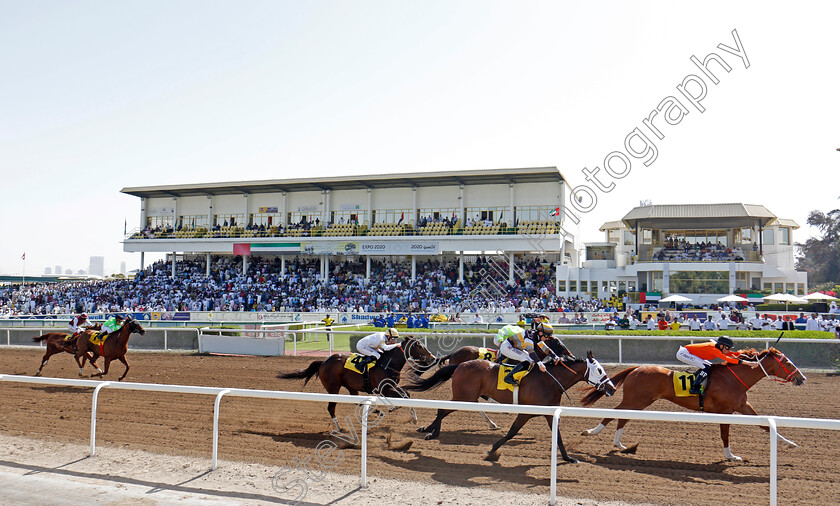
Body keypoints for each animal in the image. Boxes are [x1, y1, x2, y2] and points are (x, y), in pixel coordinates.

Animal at [278, 336, 436, 430]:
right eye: (419, 346)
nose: (433, 358)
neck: (387, 363)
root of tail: (323, 362)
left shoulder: (391, 386)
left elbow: (406, 394)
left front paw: (411, 416)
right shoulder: (384, 388)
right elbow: (406, 395)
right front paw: (408, 414)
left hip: (350, 387)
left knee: (356, 401)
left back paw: (376, 411)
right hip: (333, 388)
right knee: (331, 407)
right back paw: (338, 428)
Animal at [404, 352, 612, 462]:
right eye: (599, 370)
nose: (612, 388)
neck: (550, 381)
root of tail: (460, 365)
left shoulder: (549, 412)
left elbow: (558, 437)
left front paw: (568, 458)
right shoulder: (526, 412)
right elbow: (512, 431)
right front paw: (492, 450)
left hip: (466, 398)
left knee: (443, 410)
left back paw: (429, 430)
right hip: (463, 397)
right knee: (442, 410)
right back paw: (432, 432)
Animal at [576, 348, 808, 462]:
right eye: (787, 362)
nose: (802, 378)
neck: (734, 378)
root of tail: (636, 368)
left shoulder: (742, 406)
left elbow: (765, 425)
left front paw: (790, 443)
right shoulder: (725, 411)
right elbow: (725, 434)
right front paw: (730, 456)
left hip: (641, 401)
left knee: (623, 417)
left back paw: (619, 444)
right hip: (636, 399)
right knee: (614, 413)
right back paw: (592, 432)